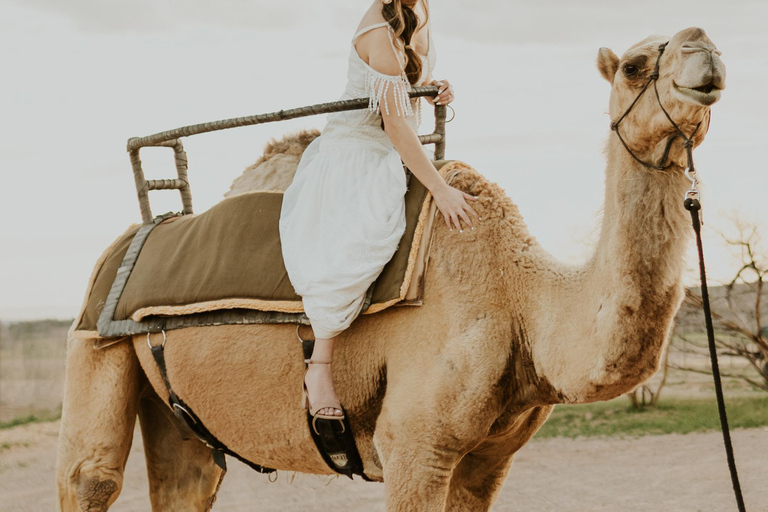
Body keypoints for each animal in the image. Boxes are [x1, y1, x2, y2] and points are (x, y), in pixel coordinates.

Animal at [57, 27, 725, 511]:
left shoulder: (490, 460)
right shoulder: (414, 448)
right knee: (90, 476)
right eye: (635, 65)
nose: (706, 49)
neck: (521, 300)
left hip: (179, 417)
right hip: (93, 341)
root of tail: (129, 241)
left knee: (187, 479)